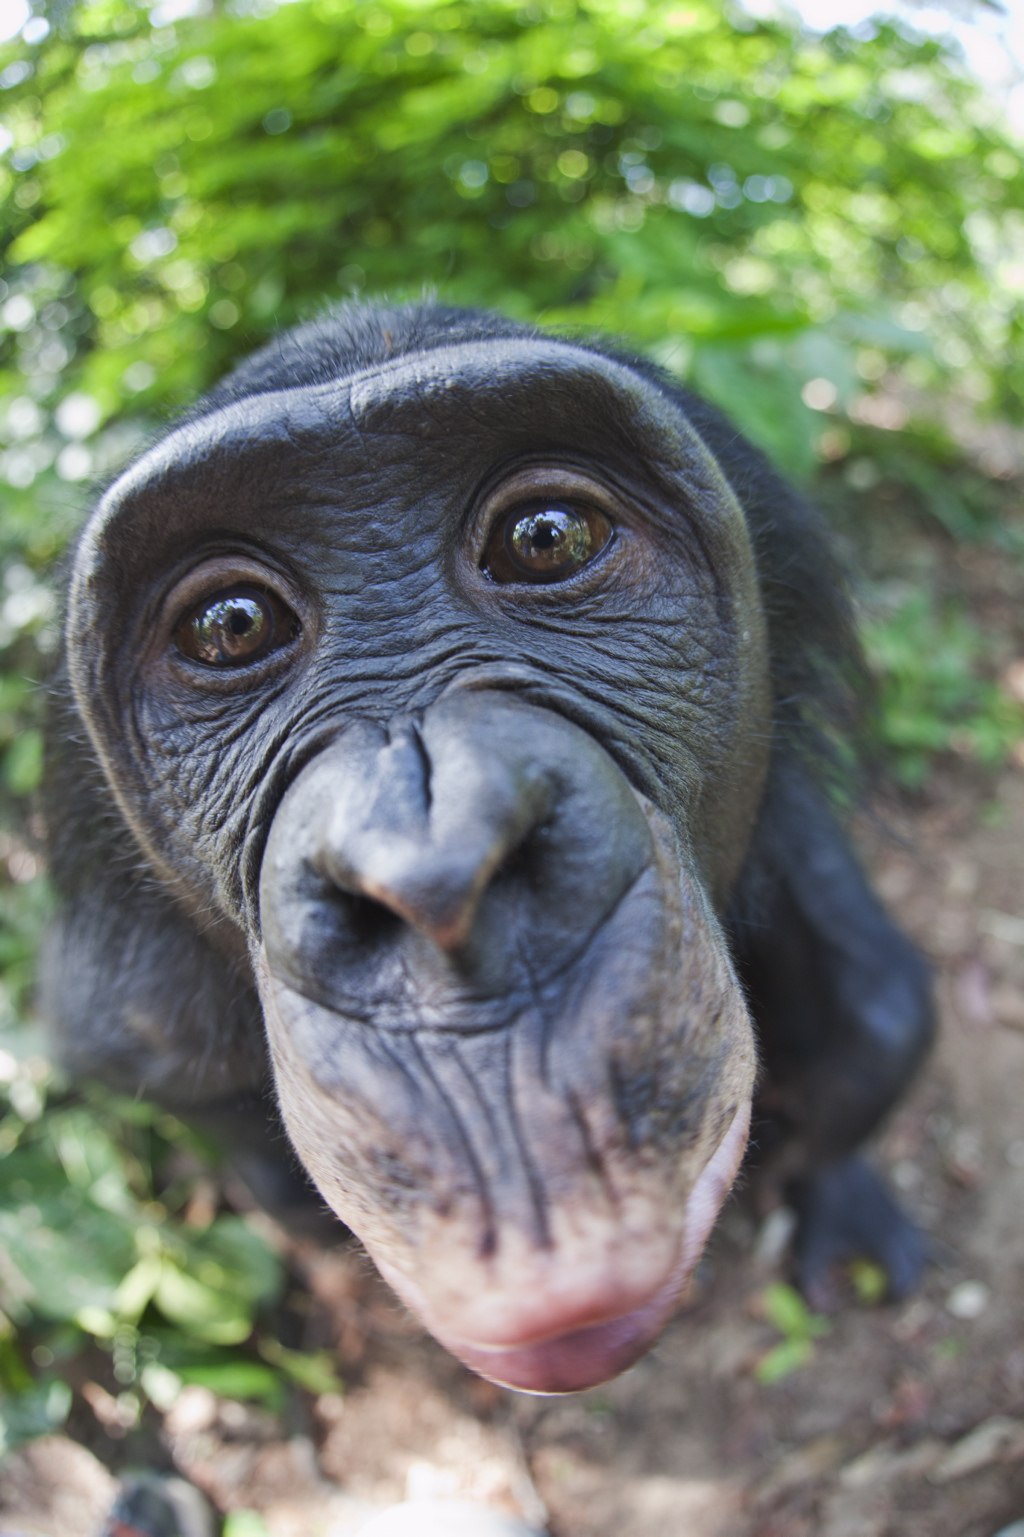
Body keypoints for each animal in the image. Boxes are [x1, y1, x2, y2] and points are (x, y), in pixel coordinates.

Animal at [43, 299, 928, 1395]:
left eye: (546, 538)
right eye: (230, 626)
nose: (436, 860)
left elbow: (881, 1011)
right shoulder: (138, 997)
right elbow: (147, 1061)